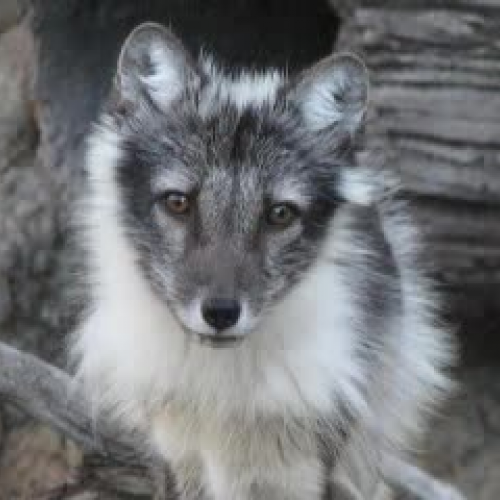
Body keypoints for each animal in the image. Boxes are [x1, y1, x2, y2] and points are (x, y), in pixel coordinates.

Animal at [72, 22, 462, 500]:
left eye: (280, 214)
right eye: (178, 202)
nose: (221, 314)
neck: (220, 388)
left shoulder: (293, 469)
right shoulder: (180, 458)